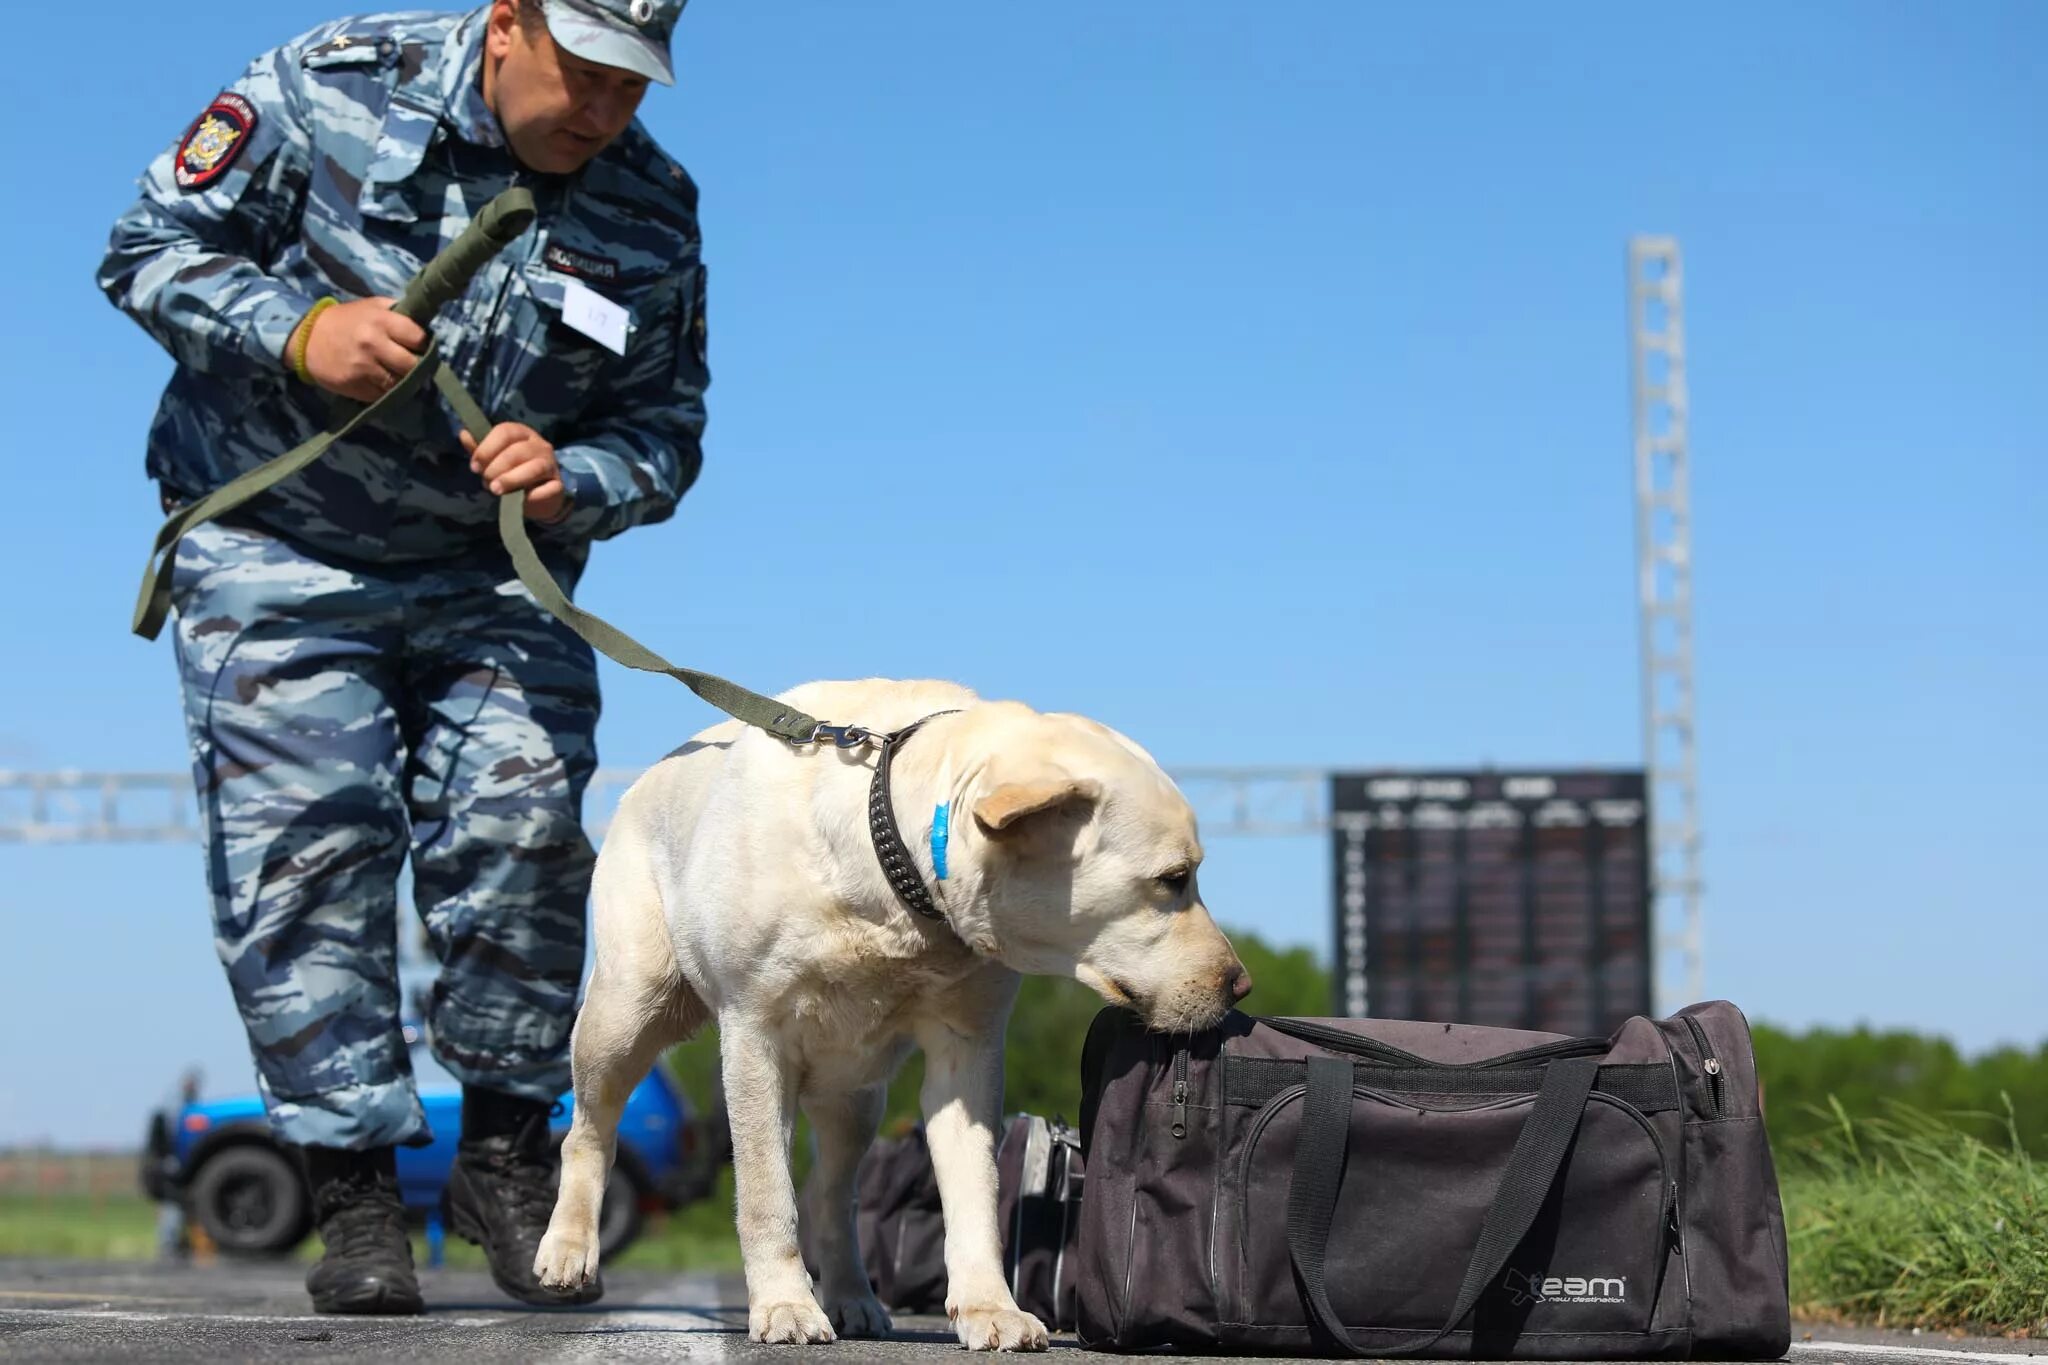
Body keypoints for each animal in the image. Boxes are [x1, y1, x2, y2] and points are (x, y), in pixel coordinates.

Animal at [532, 679, 1245, 1350]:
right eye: (1172, 878)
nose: (1240, 984)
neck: (894, 869)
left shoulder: (968, 1049)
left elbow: (976, 1193)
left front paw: (990, 1309)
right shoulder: (754, 1036)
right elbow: (765, 1193)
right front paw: (785, 1305)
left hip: (854, 1096)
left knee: (833, 1196)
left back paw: (853, 1297)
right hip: (627, 1009)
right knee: (588, 1131)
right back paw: (568, 1251)